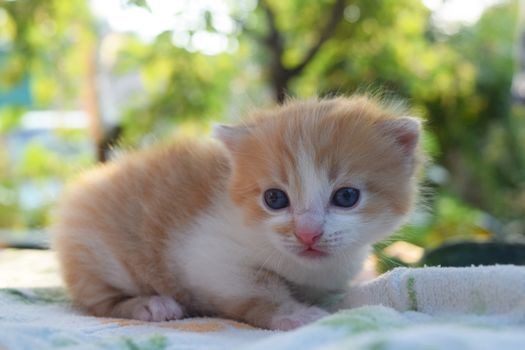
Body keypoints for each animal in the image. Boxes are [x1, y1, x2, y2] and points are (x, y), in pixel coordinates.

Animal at [52, 96, 422, 330]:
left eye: (346, 196)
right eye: (275, 199)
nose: (307, 232)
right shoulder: (208, 254)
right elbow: (257, 288)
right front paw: (296, 315)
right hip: (96, 251)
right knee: (98, 301)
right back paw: (149, 304)